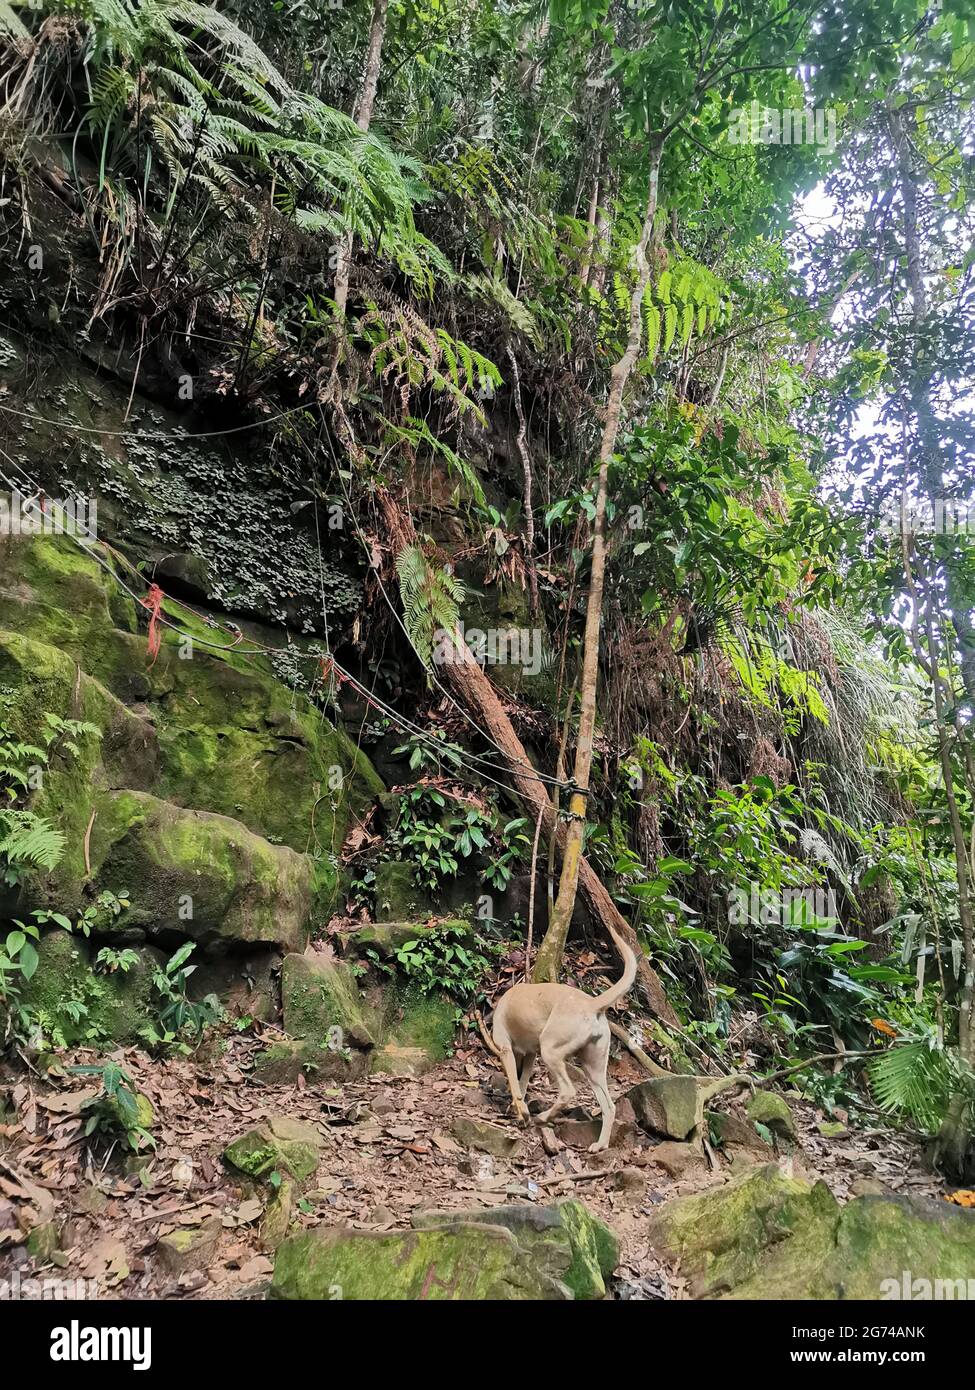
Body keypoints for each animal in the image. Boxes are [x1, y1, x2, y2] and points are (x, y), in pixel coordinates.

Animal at [481, 922, 634, 1150]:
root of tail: (592, 1004)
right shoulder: (529, 1056)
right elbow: (523, 1082)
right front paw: (518, 1109)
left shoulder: (506, 1050)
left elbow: (516, 1084)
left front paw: (521, 1111)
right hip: (593, 1068)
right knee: (609, 1107)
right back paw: (600, 1145)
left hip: (550, 1051)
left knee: (568, 1092)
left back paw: (543, 1117)